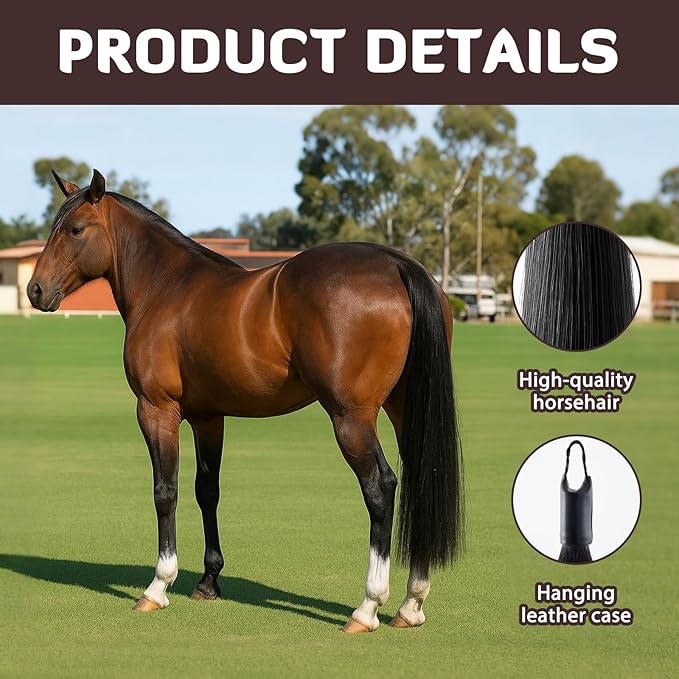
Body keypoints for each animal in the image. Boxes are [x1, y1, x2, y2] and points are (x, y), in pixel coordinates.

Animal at [27, 169, 463, 633]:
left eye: (75, 230)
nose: (35, 290)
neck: (165, 286)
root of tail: (397, 264)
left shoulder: (156, 410)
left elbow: (166, 492)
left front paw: (158, 586)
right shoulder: (208, 417)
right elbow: (207, 490)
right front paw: (208, 581)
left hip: (352, 418)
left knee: (380, 488)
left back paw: (367, 607)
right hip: (404, 410)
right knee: (419, 480)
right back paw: (410, 604)